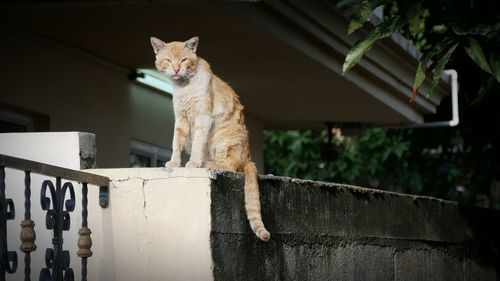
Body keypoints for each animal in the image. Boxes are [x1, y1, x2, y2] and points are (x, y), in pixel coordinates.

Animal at [150, 35, 272, 241]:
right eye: (168, 60)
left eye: (183, 60)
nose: (176, 69)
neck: (184, 87)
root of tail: (249, 157)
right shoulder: (181, 119)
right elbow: (176, 143)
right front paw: (174, 163)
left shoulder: (203, 117)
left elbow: (198, 145)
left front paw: (192, 163)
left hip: (223, 138)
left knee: (230, 165)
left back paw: (206, 163)